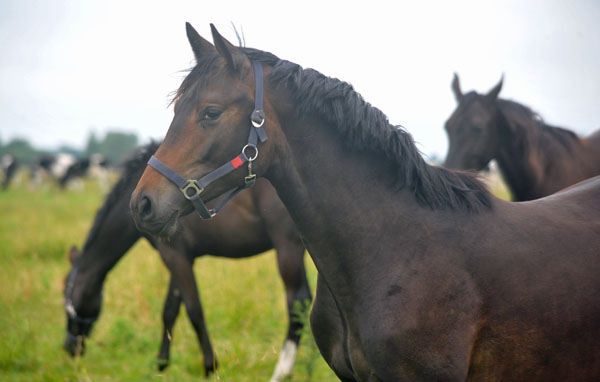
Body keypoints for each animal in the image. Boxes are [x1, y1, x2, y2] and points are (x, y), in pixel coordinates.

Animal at [63, 142, 312, 380]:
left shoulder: (174, 256)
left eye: (66, 298)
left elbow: (194, 311)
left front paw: (210, 367)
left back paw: (283, 371)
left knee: (298, 302)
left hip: (288, 248)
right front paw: (161, 364)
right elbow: (170, 310)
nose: (69, 348)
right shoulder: (182, 258)